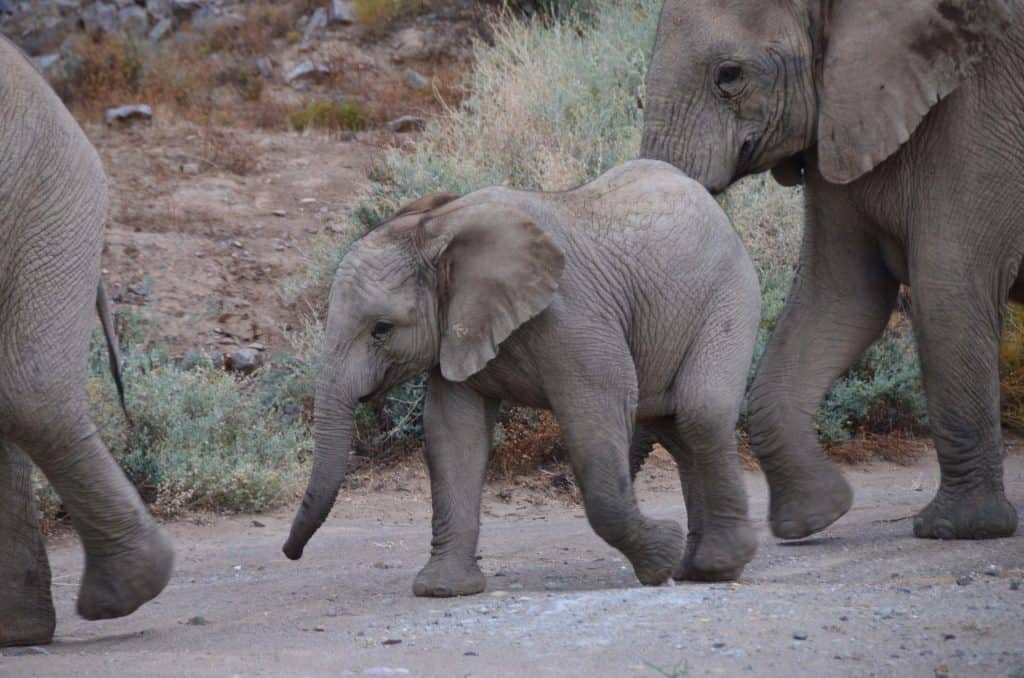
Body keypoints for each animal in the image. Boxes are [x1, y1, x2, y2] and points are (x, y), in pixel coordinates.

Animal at [280, 159, 761, 594]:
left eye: (381, 329)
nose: (290, 553)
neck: (440, 226)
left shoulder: (575, 315)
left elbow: (598, 412)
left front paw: (660, 556)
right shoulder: (459, 327)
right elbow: (453, 435)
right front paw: (444, 589)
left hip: (730, 291)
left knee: (702, 413)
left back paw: (715, 567)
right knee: (675, 429)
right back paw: (696, 567)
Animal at [643, 0, 1019, 540]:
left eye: (729, 75)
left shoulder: (979, 119)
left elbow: (947, 293)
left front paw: (958, 528)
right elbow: (841, 297)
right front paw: (814, 517)